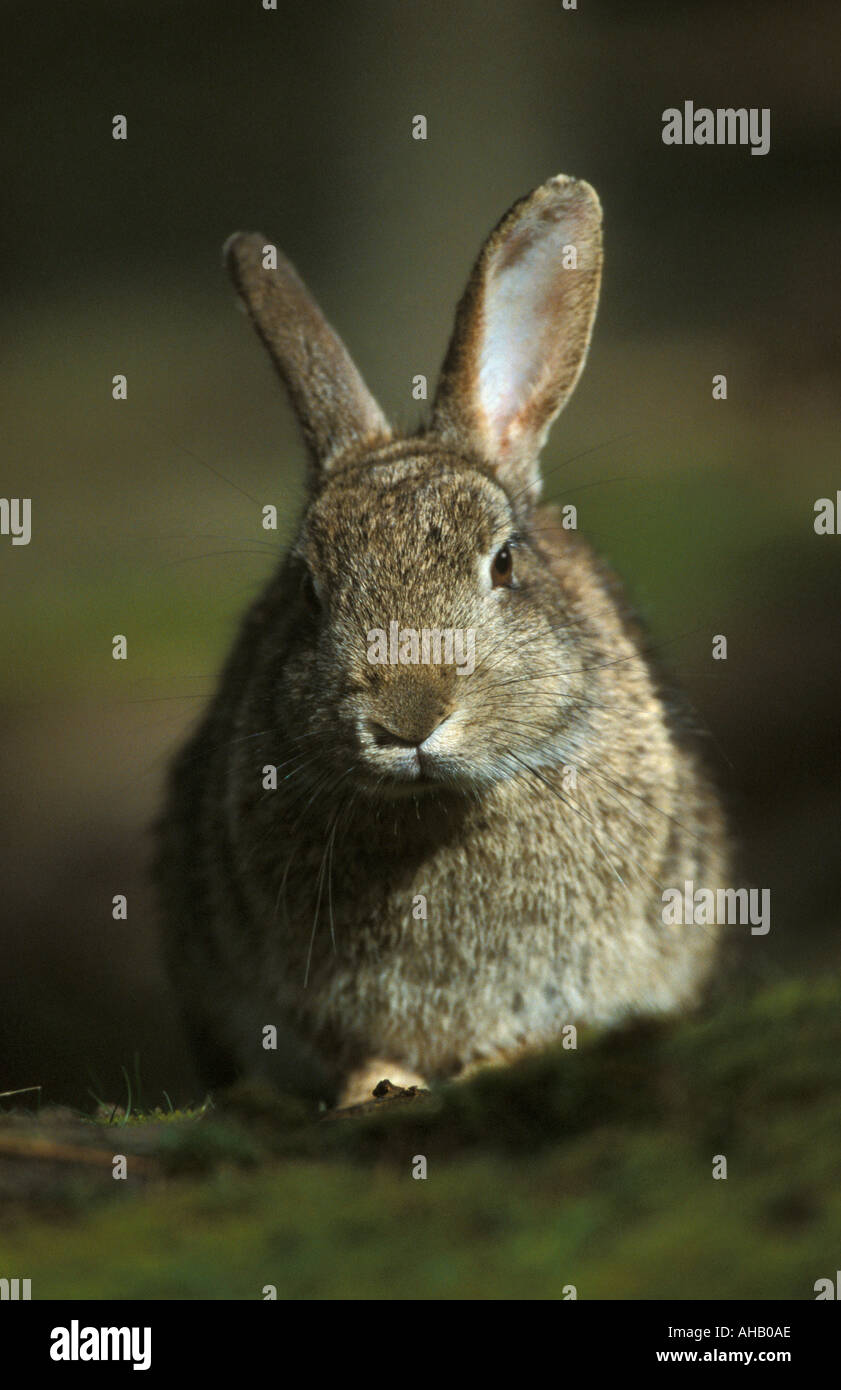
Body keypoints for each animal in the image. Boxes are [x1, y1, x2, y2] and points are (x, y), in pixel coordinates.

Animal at [155, 173, 728, 1109]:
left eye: (504, 562)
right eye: (307, 591)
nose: (406, 719)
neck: (431, 808)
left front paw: (500, 1060)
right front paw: (374, 1086)